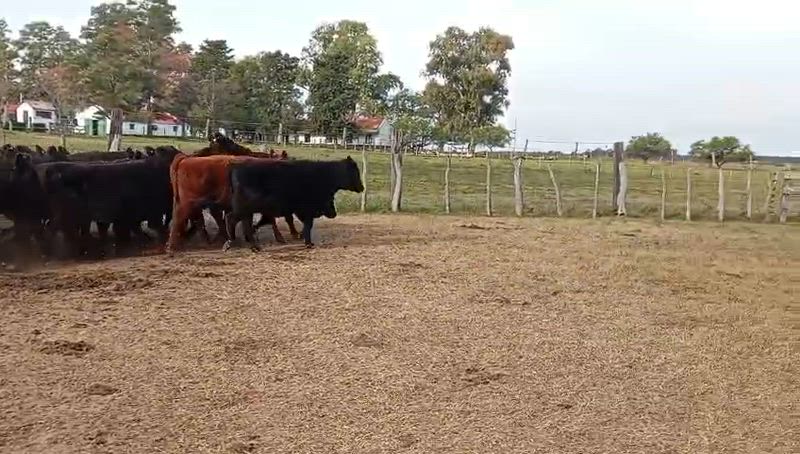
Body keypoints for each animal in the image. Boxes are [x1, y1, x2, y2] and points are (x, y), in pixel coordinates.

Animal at [222, 157, 364, 252]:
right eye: (355, 172)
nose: (362, 187)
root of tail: (236, 167)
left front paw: (301, 237)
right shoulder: (307, 210)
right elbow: (308, 226)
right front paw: (308, 243)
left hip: (245, 210)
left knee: (233, 219)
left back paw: (232, 242)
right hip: (245, 209)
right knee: (238, 222)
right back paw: (251, 246)